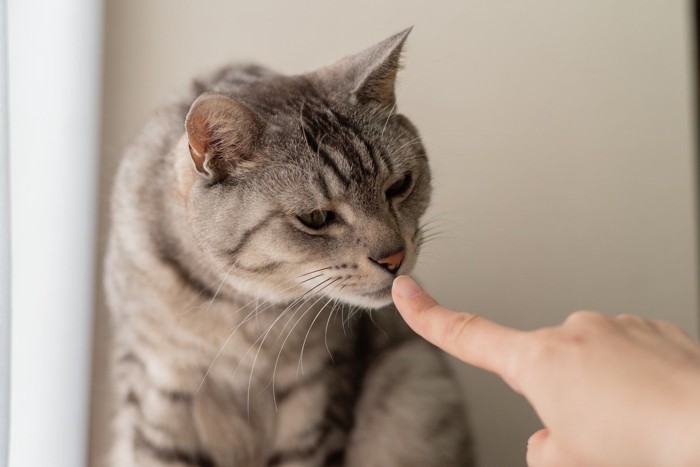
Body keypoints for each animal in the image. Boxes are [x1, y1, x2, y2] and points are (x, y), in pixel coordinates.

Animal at [105, 30, 476, 467]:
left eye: (399, 185)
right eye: (315, 218)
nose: (394, 257)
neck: (241, 308)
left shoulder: (318, 387)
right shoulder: (158, 385)